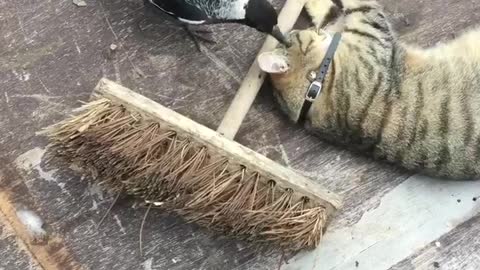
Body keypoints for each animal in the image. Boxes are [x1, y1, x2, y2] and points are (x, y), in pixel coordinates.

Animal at [258, 0, 480, 179]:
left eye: (294, 34)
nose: (311, 29)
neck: (316, 89)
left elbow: (331, 12)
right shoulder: (370, 27)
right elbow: (359, 5)